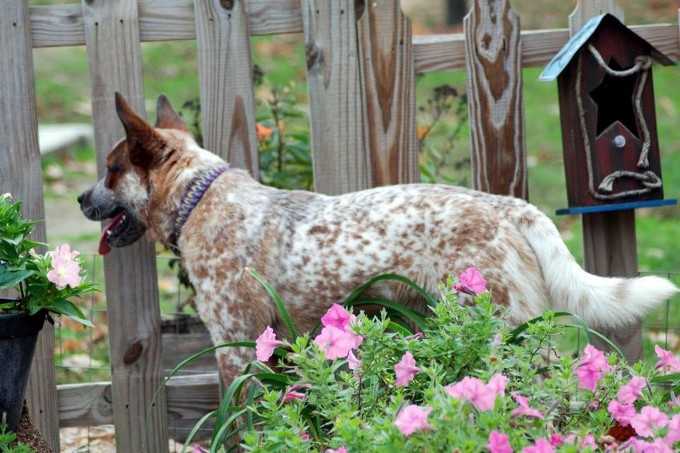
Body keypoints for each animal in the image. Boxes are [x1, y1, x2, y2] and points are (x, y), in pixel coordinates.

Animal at [78, 93, 676, 384]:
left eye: (111, 169)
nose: (83, 199)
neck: (200, 197)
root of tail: (510, 207)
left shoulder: (236, 347)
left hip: (499, 328)